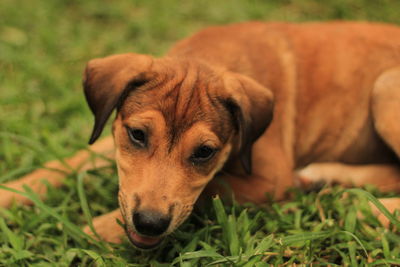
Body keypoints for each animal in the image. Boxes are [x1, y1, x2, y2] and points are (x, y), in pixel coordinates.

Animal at [0, 22, 400, 250]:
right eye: (137, 135)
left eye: (204, 153)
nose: (149, 223)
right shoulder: (112, 135)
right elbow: (66, 163)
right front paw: (12, 191)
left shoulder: (271, 181)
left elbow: (212, 188)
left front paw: (98, 228)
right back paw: (327, 179)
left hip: (385, 90)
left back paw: (362, 206)